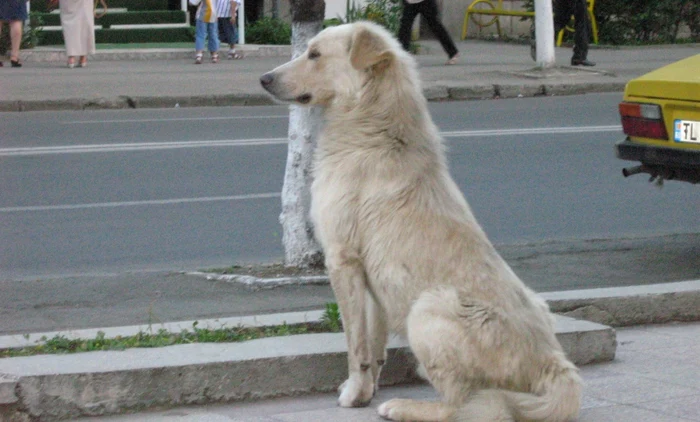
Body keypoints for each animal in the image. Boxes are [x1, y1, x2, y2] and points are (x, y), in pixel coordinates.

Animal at [260, 22, 584, 422]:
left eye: (315, 54)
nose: (263, 79)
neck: (374, 128)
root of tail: (555, 365)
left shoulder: (341, 259)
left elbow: (355, 344)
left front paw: (354, 394)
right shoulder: (372, 279)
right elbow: (374, 345)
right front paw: (366, 390)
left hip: (428, 310)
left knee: (462, 404)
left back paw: (405, 406)